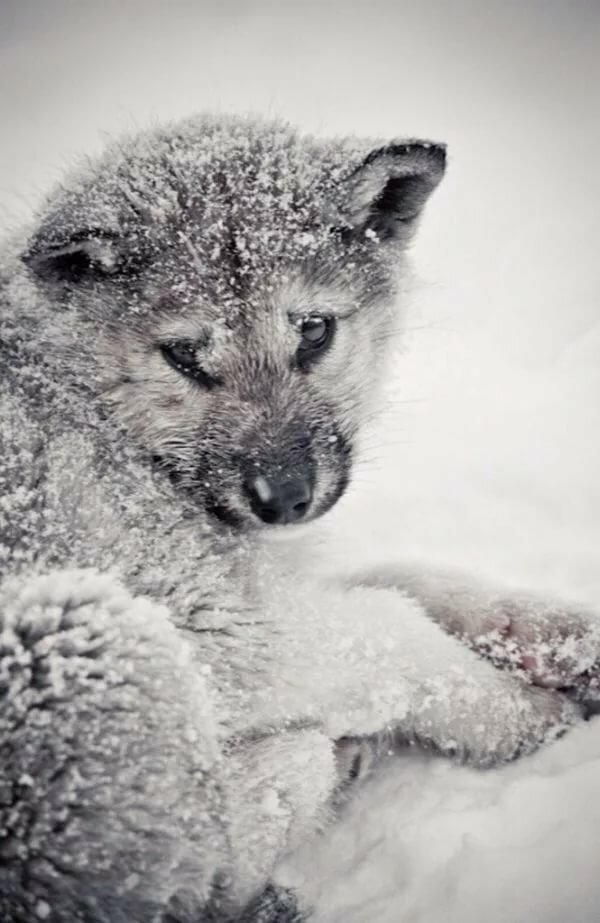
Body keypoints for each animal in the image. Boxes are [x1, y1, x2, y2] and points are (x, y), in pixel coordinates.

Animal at [1, 113, 599, 922]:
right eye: (186, 355)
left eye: (314, 330)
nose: (284, 497)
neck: (88, 398)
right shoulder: (212, 625)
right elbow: (395, 633)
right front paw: (531, 721)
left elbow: (408, 582)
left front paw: (557, 636)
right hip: (79, 627)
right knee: (192, 876)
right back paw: (310, 766)